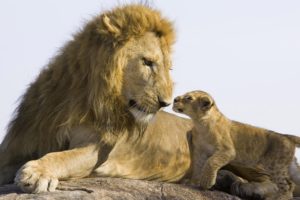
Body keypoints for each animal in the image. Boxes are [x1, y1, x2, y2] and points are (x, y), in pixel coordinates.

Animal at [0, 3, 282, 198]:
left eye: (169, 68)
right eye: (147, 62)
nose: (166, 102)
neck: (80, 98)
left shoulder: (97, 150)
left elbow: (63, 157)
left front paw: (37, 172)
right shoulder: (19, 145)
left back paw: (248, 188)